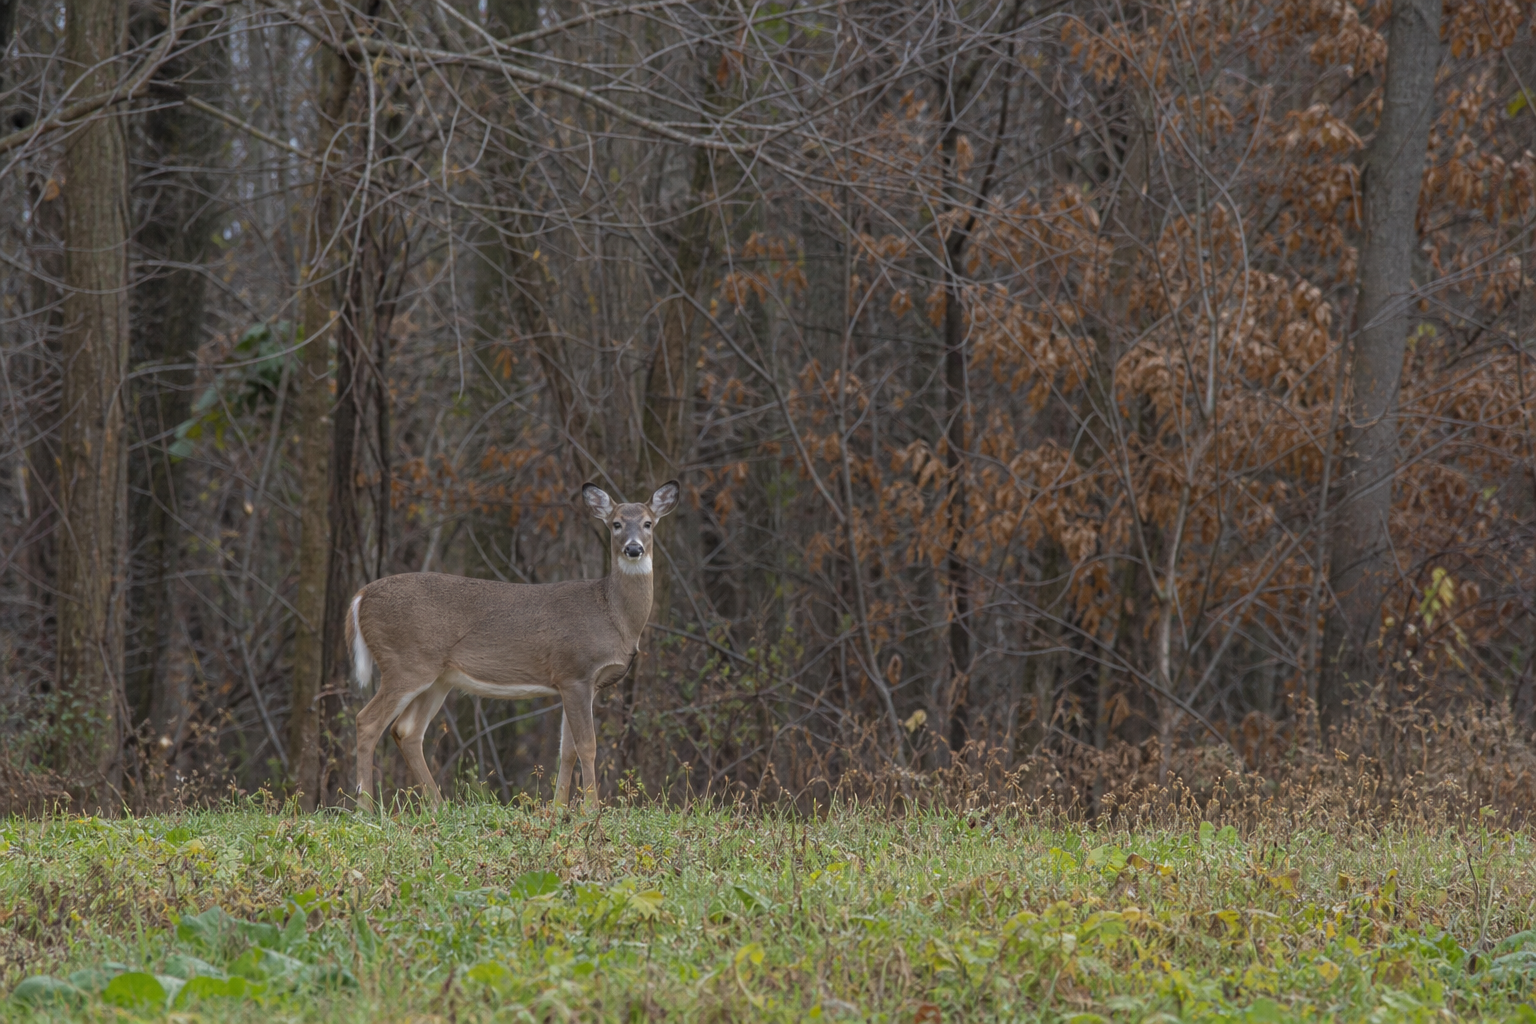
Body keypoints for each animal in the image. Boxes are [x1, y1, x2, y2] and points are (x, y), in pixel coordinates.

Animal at [347, 480, 679, 811]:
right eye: (616, 524)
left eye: (648, 523)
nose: (633, 548)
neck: (614, 615)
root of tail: (361, 596)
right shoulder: (576, 672)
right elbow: (587, 746)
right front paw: (591, 809)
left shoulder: (578, 683)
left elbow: (567, 749)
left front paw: (559, 810)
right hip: (405, 663)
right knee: (367, 722)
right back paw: (366, 808)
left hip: (437, 678)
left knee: (406, 731)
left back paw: (439, 806)